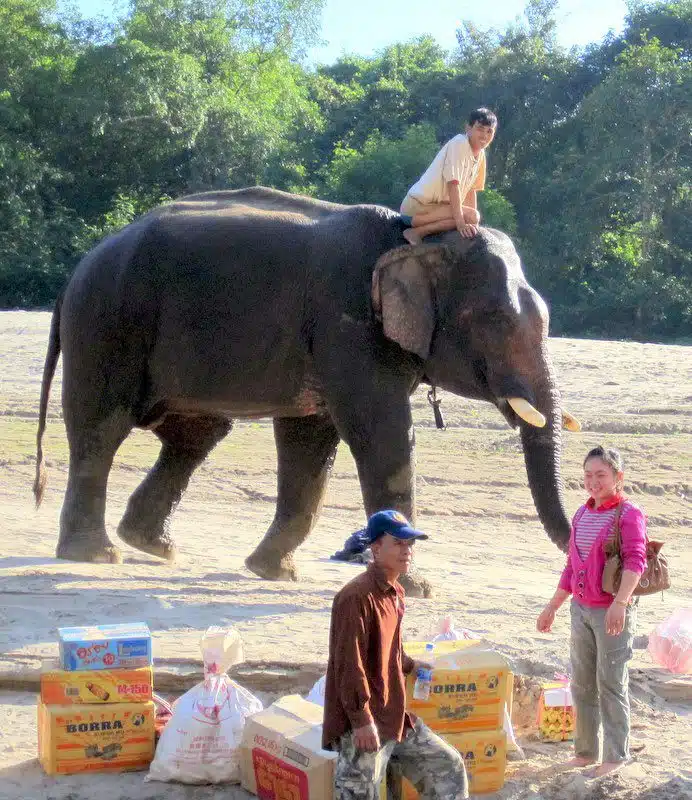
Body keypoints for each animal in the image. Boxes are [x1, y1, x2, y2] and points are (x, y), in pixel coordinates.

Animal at [34, 186, 576, 597]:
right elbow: (380, 434)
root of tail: (76, 271)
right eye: (496, 321)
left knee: (196, 436)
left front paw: (273, 572)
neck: (412, 240)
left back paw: (153, 546)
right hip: (109, 323)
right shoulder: (349, 327)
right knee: (102, 430)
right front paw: (419, 589)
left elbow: (309, 442)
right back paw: (96, 554)